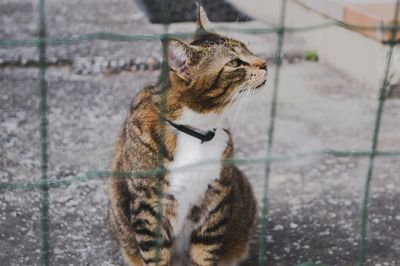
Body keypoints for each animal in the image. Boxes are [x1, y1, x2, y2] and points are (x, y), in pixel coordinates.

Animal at [108, 4, 268, 266]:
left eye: (248, 47)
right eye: (235, 62)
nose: (265, 63)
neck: (196, 131)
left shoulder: (215, 199)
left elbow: (205, 251)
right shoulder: (148, 207)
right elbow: (155, 254)